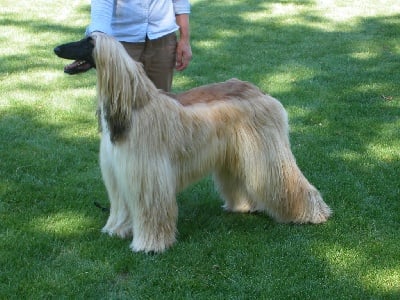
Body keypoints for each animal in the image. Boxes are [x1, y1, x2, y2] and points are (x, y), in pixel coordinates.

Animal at [54, 33, 332, 253]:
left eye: (87, 42)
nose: (56, 48)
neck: (134, 106)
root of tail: (260, 91)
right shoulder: (119, 172)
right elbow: (122, 206)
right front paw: (118, 230)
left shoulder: (147, 173)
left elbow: (151, 210)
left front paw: (149, 245)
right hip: (237, 151)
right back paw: (243, 206)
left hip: (266, 150)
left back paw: (313, 214)